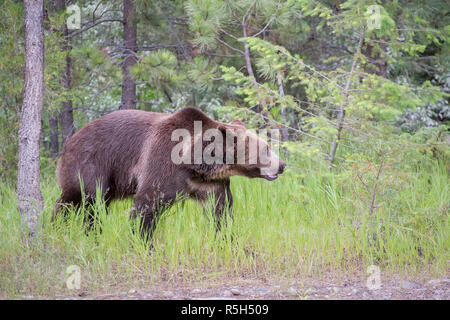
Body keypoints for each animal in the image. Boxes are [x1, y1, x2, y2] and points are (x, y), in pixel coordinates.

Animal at [52, 107, 284, 238]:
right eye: (266, 148)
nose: (282, 165)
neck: (195, 162)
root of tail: (69, 141)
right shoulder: (163, 163)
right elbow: (146, 205)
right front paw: (143, 242)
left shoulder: (209, 183)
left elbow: (220, 210)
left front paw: (228, 238)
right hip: (91, 164)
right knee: (84, 200)